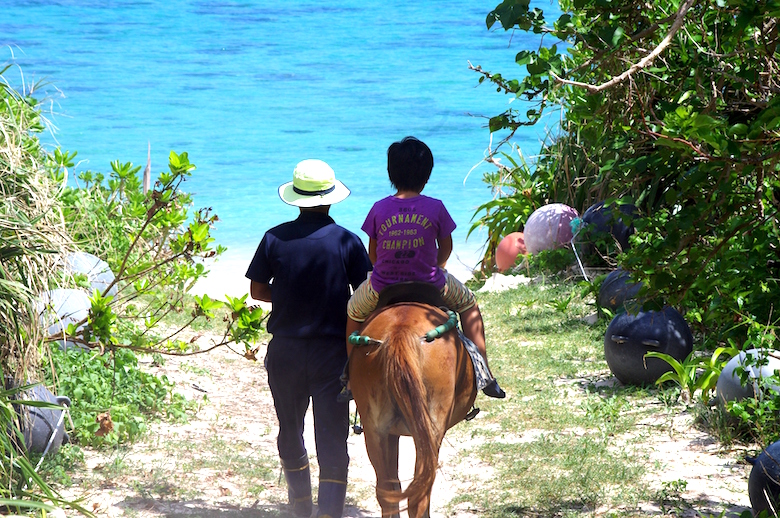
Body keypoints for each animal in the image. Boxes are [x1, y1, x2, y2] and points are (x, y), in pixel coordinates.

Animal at [348, 300, 476, 518]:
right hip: (431, 430)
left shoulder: (390, 433)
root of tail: (399, 332)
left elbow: (394, 484)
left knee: (386, 493)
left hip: (375, 430)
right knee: (420, 494)